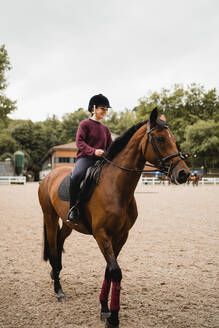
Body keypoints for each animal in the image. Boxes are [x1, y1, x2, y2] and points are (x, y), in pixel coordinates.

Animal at [38, 108, 190, 328]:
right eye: (160, 139)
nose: (184, 173)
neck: (116, 188)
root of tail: (49, 176)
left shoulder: (121, 236)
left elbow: (109, 270)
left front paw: (104, 308)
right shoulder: (102, 235)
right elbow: (116, 271)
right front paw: (113, 317)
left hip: (68, 224)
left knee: (59, 242)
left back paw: (55, 273)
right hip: (49, 217)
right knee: (52, 245)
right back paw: (58, 290)